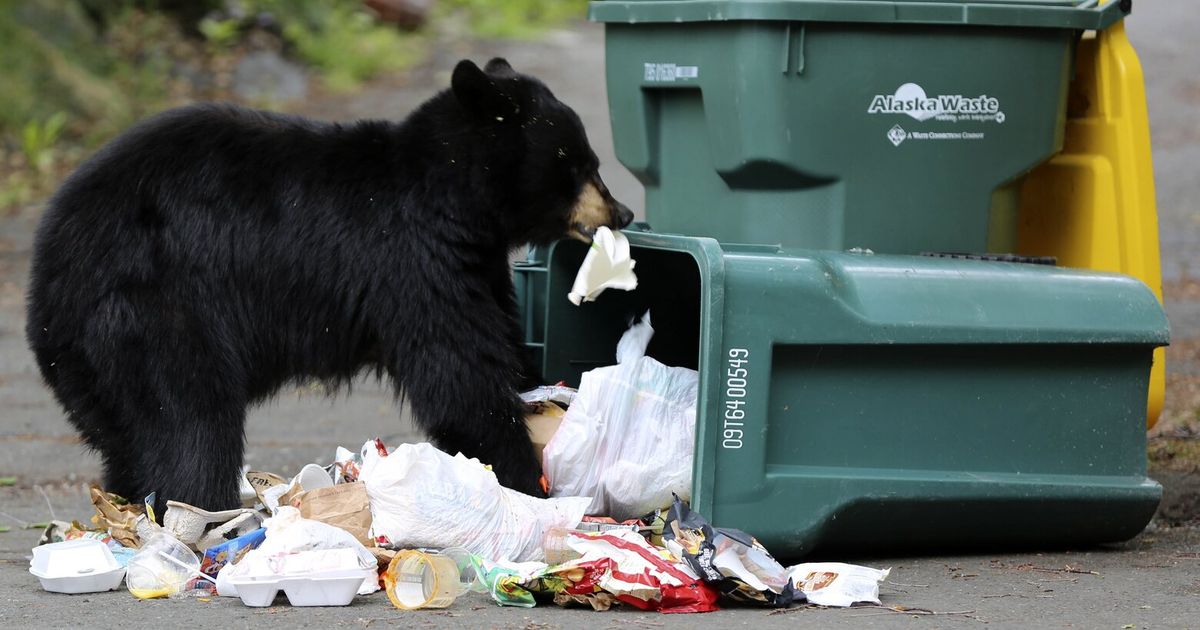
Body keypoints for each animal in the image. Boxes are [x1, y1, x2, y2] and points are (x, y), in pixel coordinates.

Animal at [25, 57, 633, 515]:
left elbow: (500, 337)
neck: (457, 201)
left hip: (97, 364)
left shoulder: (477, 263)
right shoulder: (413, 261)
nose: (622, 212)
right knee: (192, 421)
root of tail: (46, 281)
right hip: (157, 309)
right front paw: (526, 484)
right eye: (576, 162)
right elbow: (459, 372)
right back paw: (204, 515)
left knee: (132, 435)